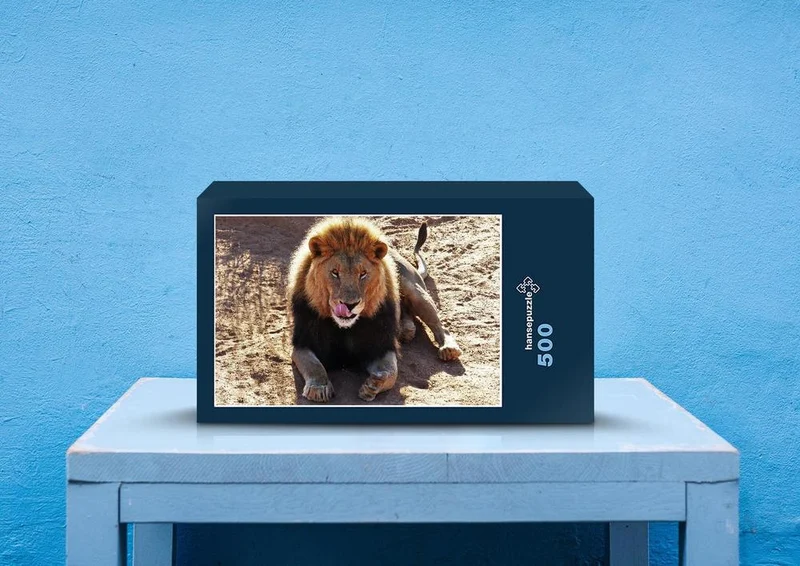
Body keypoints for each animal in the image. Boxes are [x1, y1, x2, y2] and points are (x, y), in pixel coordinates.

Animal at [287, 216, 462, 402]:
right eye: (334, 272)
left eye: (363, 274)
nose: (349, 305)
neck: (345, 328)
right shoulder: (303, 343)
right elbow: (314, 366)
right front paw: (318, 388)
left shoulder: (380, 346)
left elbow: (391, 372)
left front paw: (374, 384)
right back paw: (406, 330)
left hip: (415, 291)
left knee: (438, 325)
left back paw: (448, 348)